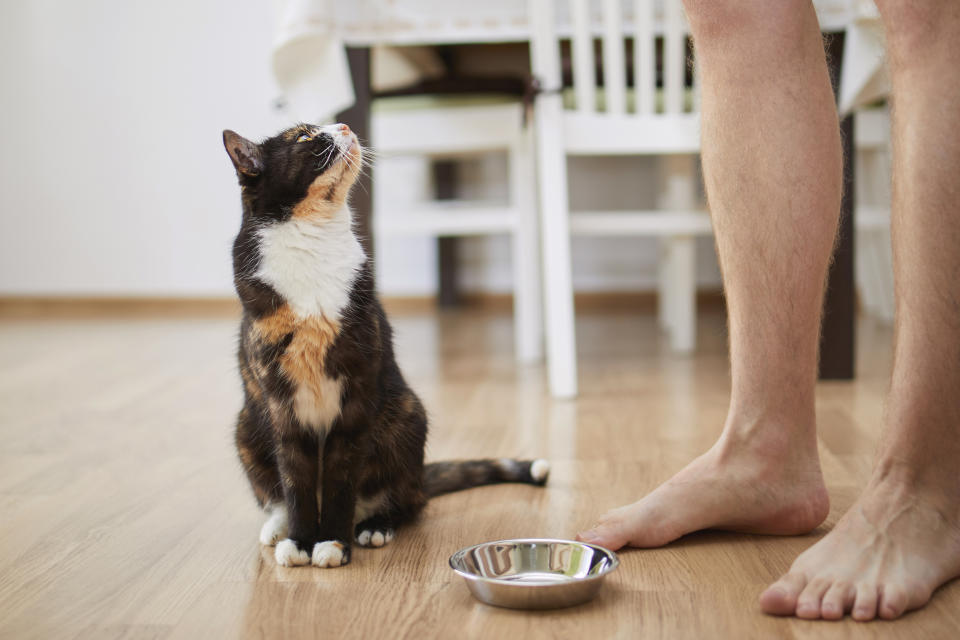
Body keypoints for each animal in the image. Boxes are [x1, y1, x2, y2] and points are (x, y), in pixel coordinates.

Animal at [219, 122, 548, 568]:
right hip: (247, 425)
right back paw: (278, 527)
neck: (315, 239)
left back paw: (375, 525)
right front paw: (301, 542)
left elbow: (340, 480)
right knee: (277, 492)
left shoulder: (356, 396)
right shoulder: (281, 404)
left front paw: (333, 543)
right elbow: (295, 481)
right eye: (304, 137)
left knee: (409, 500)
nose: (343, 126)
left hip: (405, 414)